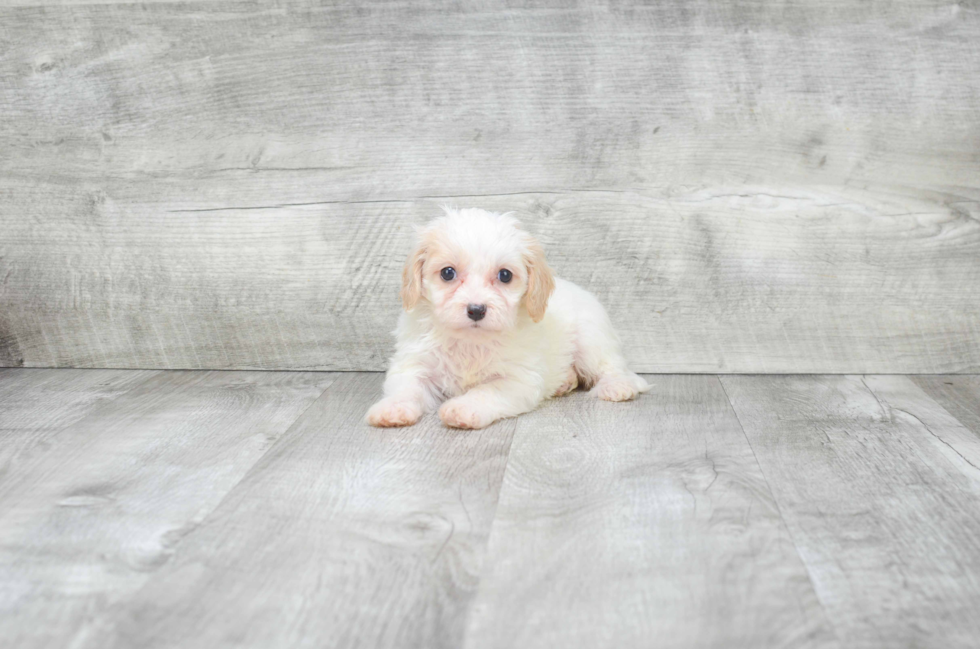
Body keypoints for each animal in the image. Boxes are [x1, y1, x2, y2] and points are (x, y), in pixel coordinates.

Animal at [364, 209, 648, 430]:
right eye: (447, 273)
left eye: (505, 275)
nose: (476, 309)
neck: (470, 341)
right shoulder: (414, 364)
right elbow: (407, 387)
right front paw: (392, 408)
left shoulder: (517, 379)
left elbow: (486, 391)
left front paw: (462, 408)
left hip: (591, 341)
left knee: (611, 367)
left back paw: (617, 387)